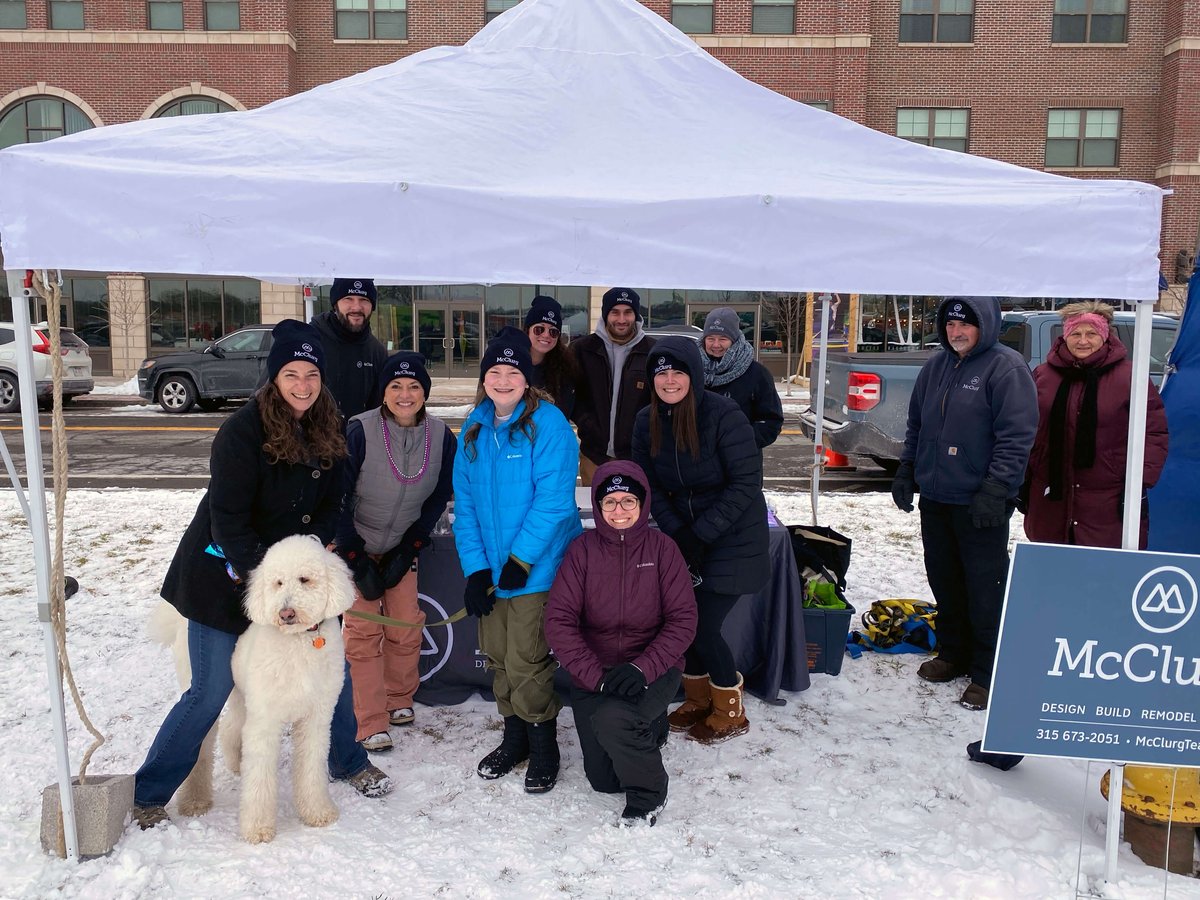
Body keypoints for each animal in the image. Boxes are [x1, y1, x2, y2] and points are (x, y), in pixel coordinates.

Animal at [150, 535, 355, 844]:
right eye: (278, 583)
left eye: (305, 579)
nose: (285, 613)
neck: (298, 643)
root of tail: (181, 619)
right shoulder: (265, 721)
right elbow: (259, 779)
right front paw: (257, 829)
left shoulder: (315, 718)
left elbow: (311, 768)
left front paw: (317, 812)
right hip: (206, 687)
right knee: (202, 741)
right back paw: (195, 800)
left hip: (242, 695)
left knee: (232, 727)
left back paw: (237, 763)